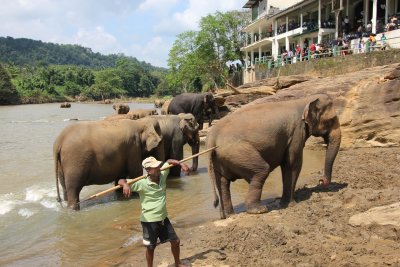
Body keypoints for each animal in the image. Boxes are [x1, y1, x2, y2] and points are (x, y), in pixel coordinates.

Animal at [208, 94, 342, 220]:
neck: (305, 100)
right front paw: (290, 204)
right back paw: (259, 210)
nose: (322, 181)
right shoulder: (296, 133)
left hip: (220, 158)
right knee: (261, 171)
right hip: (238, 152)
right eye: (331, 120)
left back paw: (229, 215)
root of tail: (212, 137)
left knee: (223, 182)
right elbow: (292, 164)